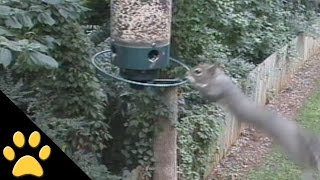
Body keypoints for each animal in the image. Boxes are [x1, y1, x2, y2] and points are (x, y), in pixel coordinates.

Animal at [186, 63, 320, 179]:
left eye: (198, 71)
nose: (186, 75)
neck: (216, 78)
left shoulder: (217, 89)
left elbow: (209, 95)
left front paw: (194, 85)